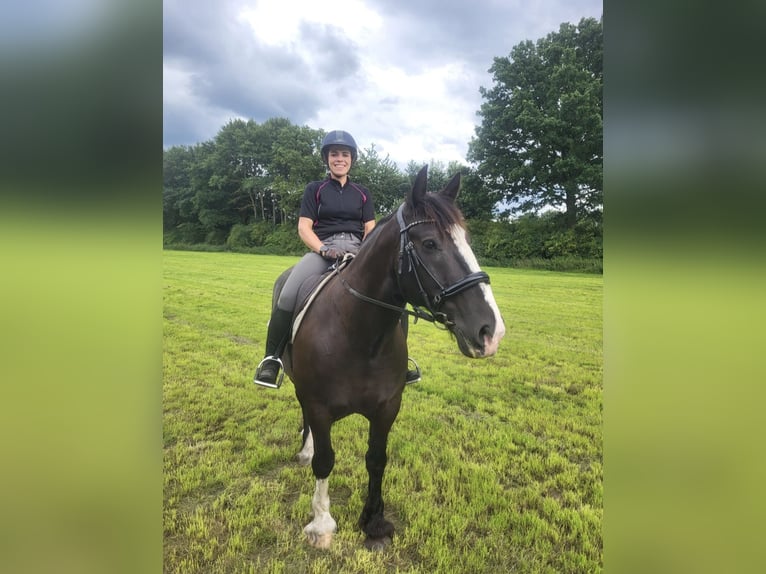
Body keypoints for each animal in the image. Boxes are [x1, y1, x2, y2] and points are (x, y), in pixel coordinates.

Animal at [269, 165, 505, 550]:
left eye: (467, 241)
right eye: (430, 244)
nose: (491, 332)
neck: (357, 335)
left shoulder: (387, 407)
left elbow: (376, 459)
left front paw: (374, 522)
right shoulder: (318, 405)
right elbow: (325, 460)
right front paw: (321, 524)